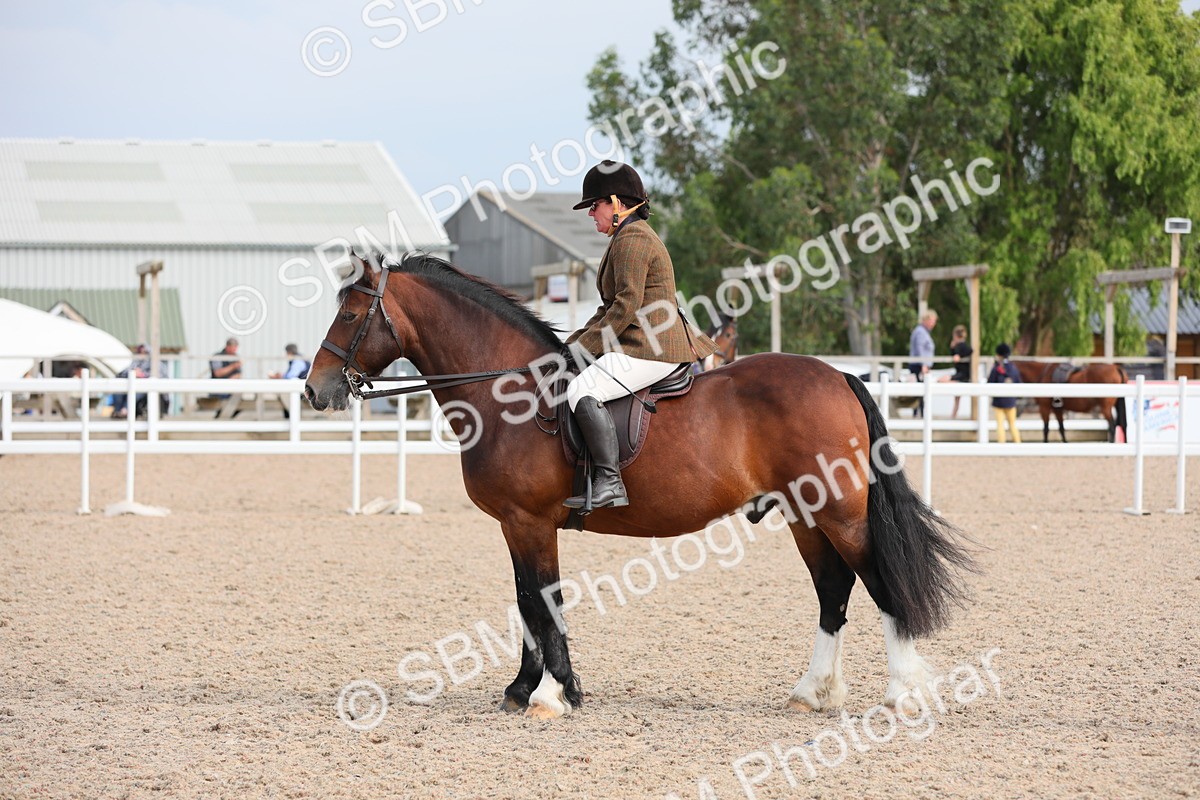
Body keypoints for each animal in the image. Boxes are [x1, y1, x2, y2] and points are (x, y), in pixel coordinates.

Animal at [305, 252, 974, 720]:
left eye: (350, 312)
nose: (316, 389)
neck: (509, 393)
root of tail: (838, 376)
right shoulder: (518, 525)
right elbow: (527, 601)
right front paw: (525, 689)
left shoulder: (529, 520)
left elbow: (542, 601)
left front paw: (551, 694)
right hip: (805, 516)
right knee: (833, 592)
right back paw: (812, 692)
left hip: (839, 513)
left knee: (879, 584)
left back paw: (900, 694)